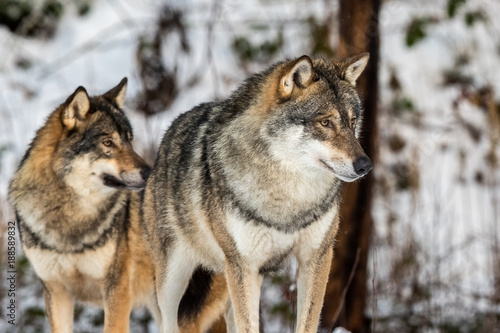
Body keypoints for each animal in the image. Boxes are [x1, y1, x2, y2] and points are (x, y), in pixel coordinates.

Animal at [8, 80, 228, 332]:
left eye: (130, 140)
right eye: (108, 143)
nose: (150, 173)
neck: (72, 221)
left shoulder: (117, 291)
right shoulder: (55, 291)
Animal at [143, 53, 374, 330]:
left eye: (352, 122)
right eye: (325, 122)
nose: (365, 165)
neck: (290, 196)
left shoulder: (316, 256)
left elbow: (306, 323)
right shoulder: (244, 264)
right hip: (174, 282)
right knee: (168, 322)